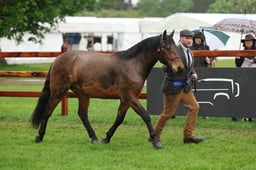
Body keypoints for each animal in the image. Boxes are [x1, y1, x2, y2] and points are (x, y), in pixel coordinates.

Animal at [31, 29, 184, 148]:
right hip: (59, 92)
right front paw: (156, 141)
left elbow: (119, 119)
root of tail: (58, 59)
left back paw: (94, 138)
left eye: (176, 47)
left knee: (82, 114)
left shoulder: (126, 99)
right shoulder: (130, 97)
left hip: (83, 94)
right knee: (47, 111)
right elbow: (145, 115)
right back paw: (39, 137)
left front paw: (106, 138)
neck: (133, 64)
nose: (179, 68)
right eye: (167, 48)